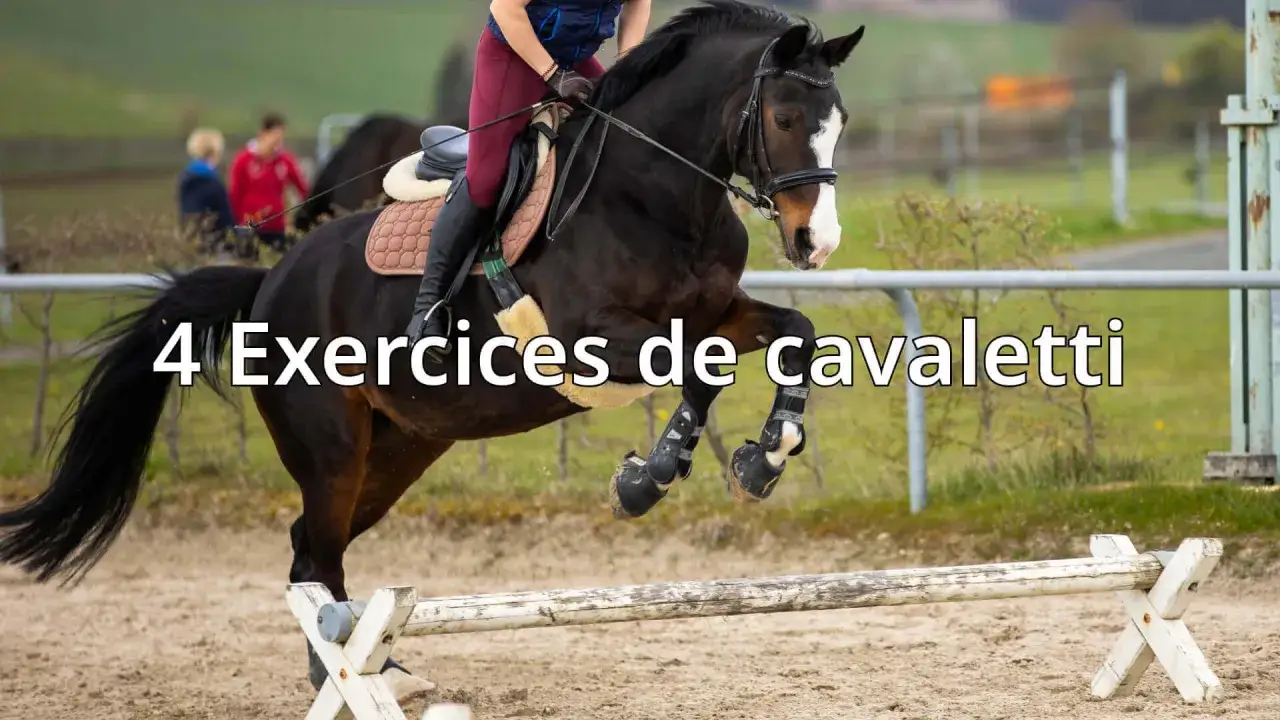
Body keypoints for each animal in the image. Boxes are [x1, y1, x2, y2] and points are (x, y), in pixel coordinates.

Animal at [0, 0, 864, 701]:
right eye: (786, 119)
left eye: (840, 122)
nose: (815, 243)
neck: (654, 194)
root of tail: (270, 281)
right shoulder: (592, 337)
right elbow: (703, 376)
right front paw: (645, 480)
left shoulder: (717, 313)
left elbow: (795, 337)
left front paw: (766, 454)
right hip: (332, 450)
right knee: (317, 554)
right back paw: (348, 675)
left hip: (400, 451)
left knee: (312, 550)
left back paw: (365, 664)